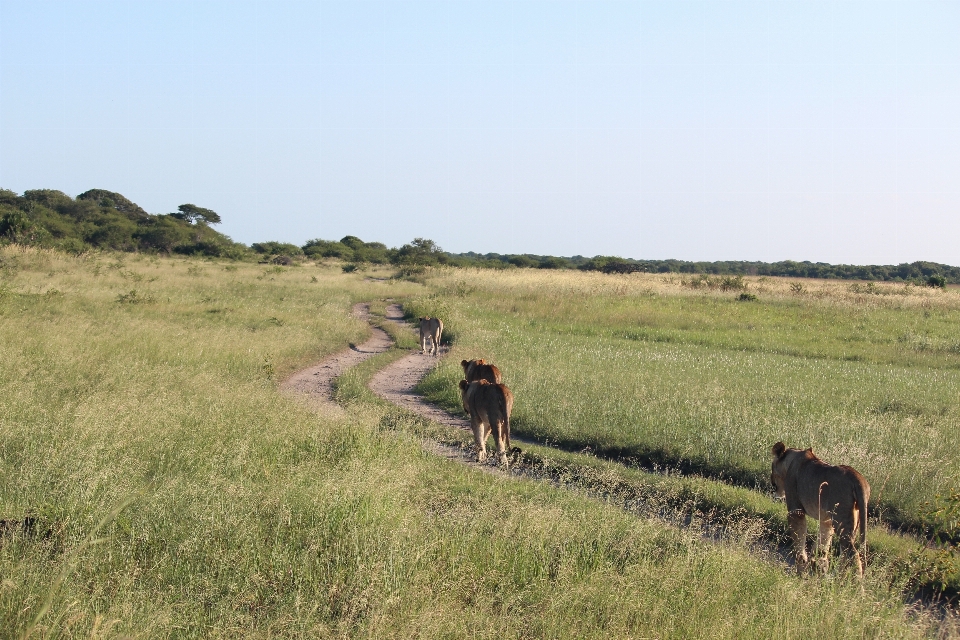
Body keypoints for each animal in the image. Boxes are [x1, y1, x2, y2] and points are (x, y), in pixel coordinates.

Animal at [772, 442, 872, 576]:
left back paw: (849, 581)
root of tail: (858, 479)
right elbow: (823, 542)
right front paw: (817, 563)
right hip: (853, 518)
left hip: (842, 519)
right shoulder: (826, 519)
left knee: (852, 553)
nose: (772, 483)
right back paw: (835, 577)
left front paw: (801, 568)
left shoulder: (796, 511)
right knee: (845, 552)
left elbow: (799, 541)